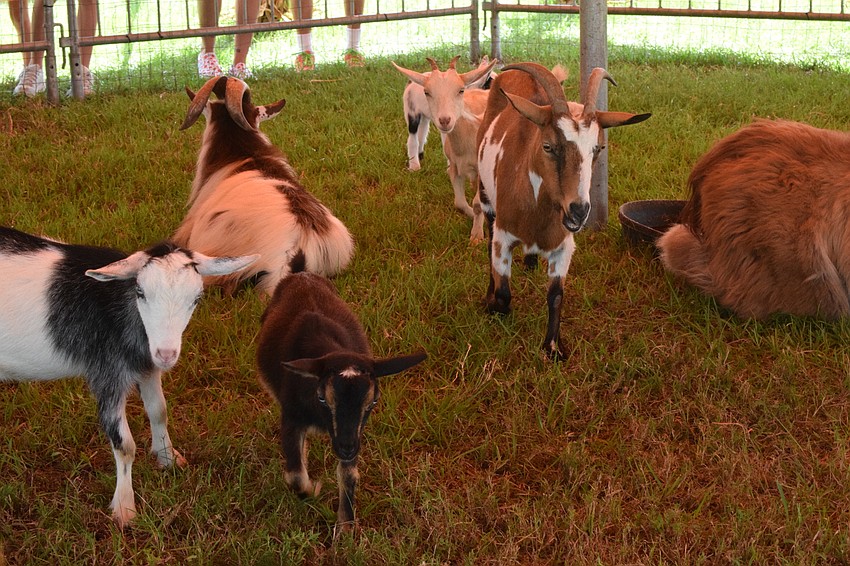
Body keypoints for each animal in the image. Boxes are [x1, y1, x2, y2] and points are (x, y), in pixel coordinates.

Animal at [0, 226, 257, 527]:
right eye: (140, 291)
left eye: (196, 299)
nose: (166, 354)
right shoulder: (107, 374)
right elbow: (124, 444)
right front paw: (124, 509)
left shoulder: (146, 366)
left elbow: (159, 411)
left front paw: (169, 458)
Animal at [256, 271, 426, 537]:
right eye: (322, 398)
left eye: (373, 401)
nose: (347, 449)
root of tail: (302, 275)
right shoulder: (291, 416)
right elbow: (295, 476)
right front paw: (313, 490)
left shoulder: (353, 433)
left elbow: (348, 475)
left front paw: (345, 529)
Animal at [393, 56, 499, 242]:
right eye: (427, 92)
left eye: (460, 90)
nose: (444, 120)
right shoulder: (455, 167)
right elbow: (460, 203)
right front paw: (472, 218)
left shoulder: (482, 169)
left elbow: (477, 203)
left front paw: (476, 237)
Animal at [477, 63, 651, 359]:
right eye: (548, 146)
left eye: (598, 148)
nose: (579, 211)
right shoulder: (503, 235)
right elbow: (503, 294)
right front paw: (493, 307)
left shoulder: (564, 244)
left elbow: (556, 295)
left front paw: (553, 348)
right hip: (485, 194)